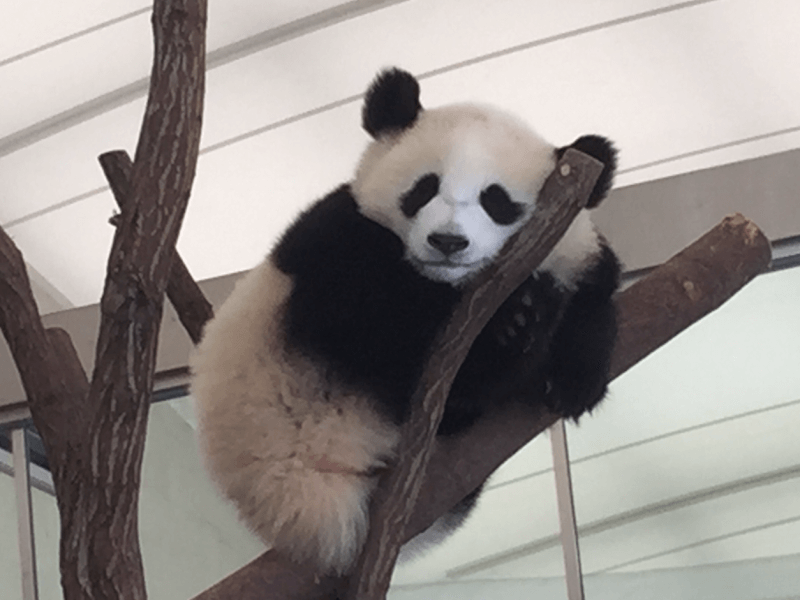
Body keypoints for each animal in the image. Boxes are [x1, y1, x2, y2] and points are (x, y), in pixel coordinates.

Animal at [191, 68, 620, 576]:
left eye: (497, 201)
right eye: (424, 188)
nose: (448, 242)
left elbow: (593, 284)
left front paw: (574, 377)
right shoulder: (339, 242)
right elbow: (383, 314)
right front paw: (515, 324)